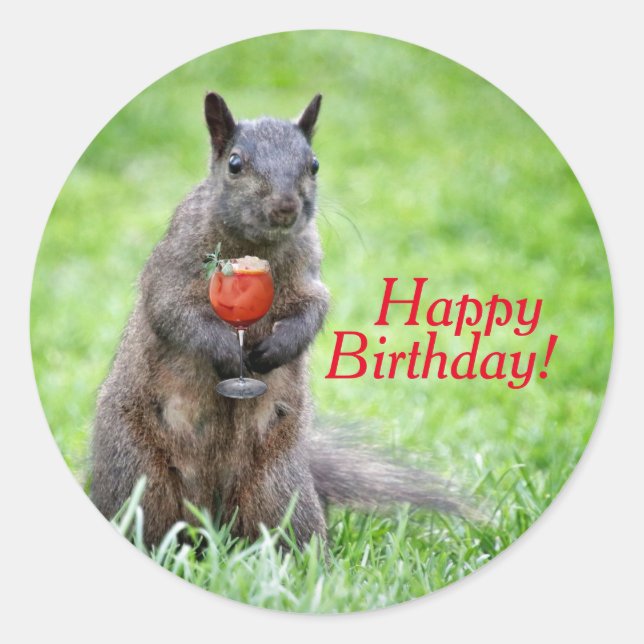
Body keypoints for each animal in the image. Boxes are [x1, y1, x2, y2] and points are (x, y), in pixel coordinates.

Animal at [90, 93, 471, 548]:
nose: (286, 206)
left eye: (314, 164)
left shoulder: (309, 274)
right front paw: (227, 352)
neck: (256, 246)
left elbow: (313, 309)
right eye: (235, 163)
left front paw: (276, 349)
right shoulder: (172, 270)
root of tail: (210, 513)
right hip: (138, 479)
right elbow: (175, 312)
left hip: (278, 490)